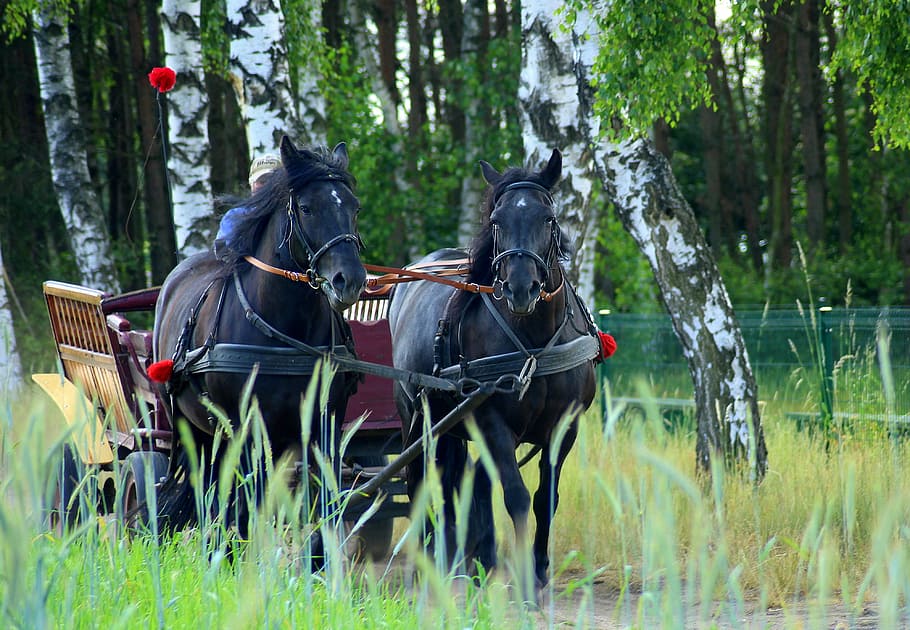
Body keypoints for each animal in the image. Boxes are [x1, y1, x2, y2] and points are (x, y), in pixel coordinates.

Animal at [151, 136, 367, 538]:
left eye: (353, 206)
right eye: (306, 207)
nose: (350, 280)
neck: (286, 333)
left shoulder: (325, 424)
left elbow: (325, 505)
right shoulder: (247, 429)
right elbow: (245, 508)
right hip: (193, 429)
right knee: (210, 493)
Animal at [388, 149, 600, 599]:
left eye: (548, 219)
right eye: (497, 221)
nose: (521, 288)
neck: (534, 342)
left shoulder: (565, 426)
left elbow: (545, 498)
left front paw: (538, 571)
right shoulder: (493, 422)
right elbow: (516, 497)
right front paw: (522, 583)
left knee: (466, 481)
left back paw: (470, 561)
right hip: (416, 418)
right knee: (421, 481)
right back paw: (428, 563)